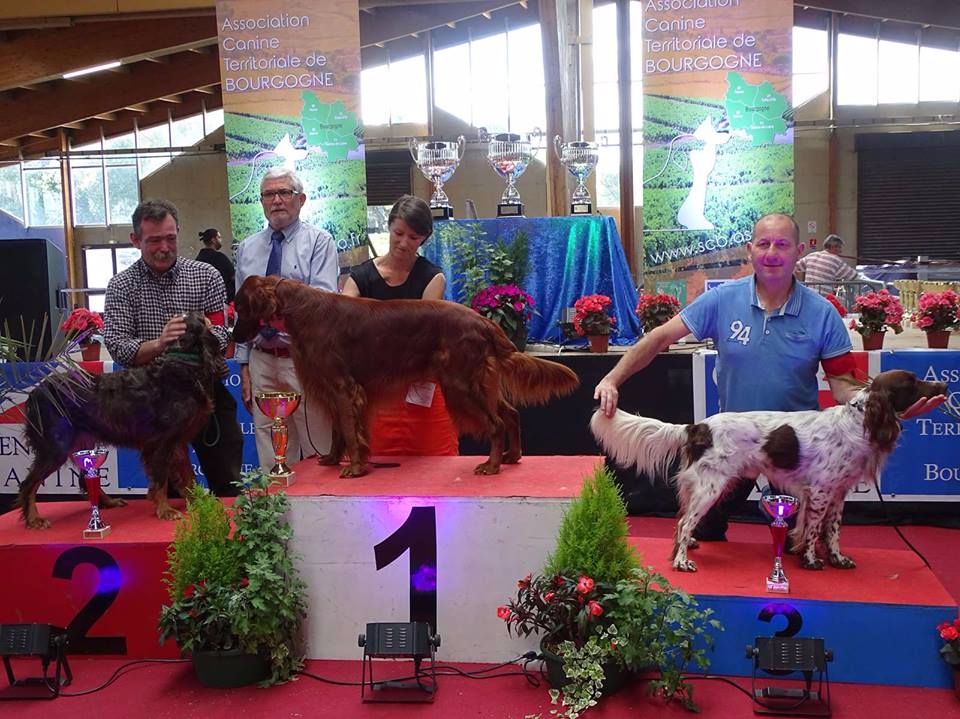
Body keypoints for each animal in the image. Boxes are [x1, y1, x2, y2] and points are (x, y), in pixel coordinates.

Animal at [17, 314, 221, 528]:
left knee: (84, 477)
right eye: (202, 320)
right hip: (56, 447)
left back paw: (108, 502)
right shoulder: (160, 441)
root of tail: (36, 391)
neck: (182, 363)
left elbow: (188, 475)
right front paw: (165, 509)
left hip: (83, 441)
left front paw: (198, 501)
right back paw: (34, 518)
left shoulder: (178, 441)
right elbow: (161, 479)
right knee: (29, 483)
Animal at [234, 276, 576, 478]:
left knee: (496, 423)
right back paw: (511, 456)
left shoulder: (344, 388)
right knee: (510, 413)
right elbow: (338, 430)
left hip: (459, 384)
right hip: (478, 382)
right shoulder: (333, 389)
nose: (235, 336)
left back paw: (491, 465)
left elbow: (349, 430)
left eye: (239, 305)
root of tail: (483, 321)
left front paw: (354, 467)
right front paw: (332, 459)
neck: (302, 310)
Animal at [592, 372, 944, 572]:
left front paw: (838, 559)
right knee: (683, 522)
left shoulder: (838, 493)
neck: (860, 421)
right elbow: (813, 530)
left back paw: (688, 546)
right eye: (912, 381)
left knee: (684, 520)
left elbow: (832, 532)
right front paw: (811, 562)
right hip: (711, 486)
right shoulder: (819, 492)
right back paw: (681, 561)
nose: (943, 382)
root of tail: (698, 426)